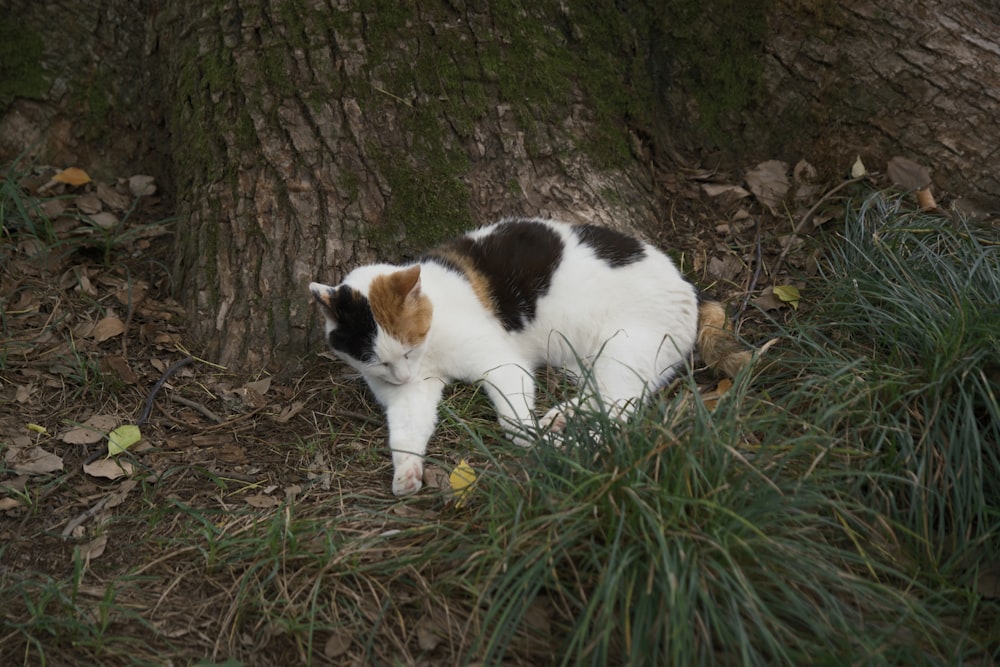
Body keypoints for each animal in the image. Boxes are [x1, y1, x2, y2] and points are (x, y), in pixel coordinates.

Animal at [312, 219, 752, 496]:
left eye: (408, 348)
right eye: (378, 362)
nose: (402, 375)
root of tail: (692, 288)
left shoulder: (500, 361)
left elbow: (513, 418)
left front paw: (530, 439)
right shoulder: (411, 395)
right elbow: (406, 434)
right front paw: (406, 473)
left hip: (624, 345)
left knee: (621, 408)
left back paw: (572, 441)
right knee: (604, 397)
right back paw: (561, 418)